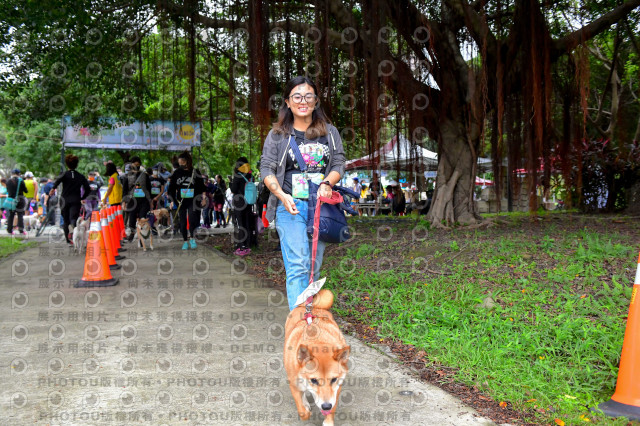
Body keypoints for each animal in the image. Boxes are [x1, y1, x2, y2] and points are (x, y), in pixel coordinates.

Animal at [284, 290, 350, 426]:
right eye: (314, 380)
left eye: (334, 379)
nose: (326, 406)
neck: (317, 341)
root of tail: (308, 305)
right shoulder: (293, 384)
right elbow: (303, 412)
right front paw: (305, 408)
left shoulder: (337, 389)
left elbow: (332, 408)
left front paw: (328, 421)